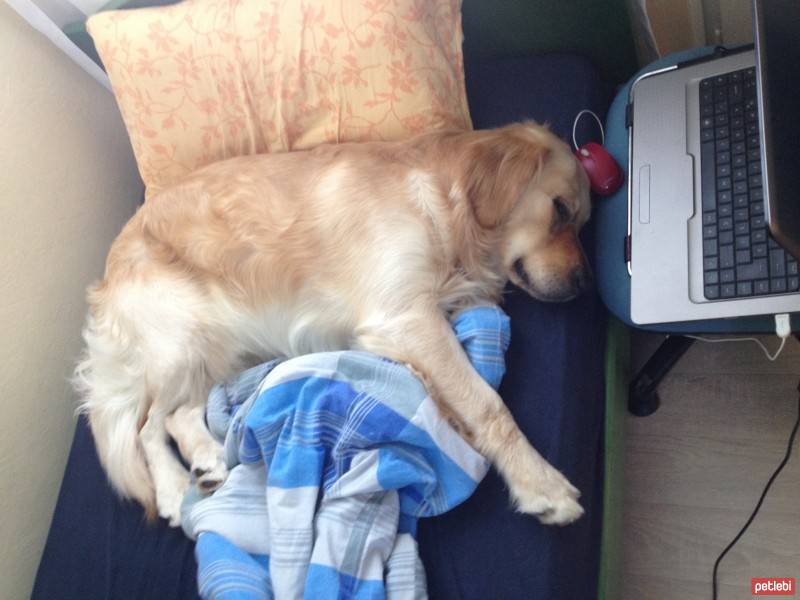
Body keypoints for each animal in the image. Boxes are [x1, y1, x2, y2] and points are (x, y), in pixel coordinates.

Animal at [72, 122, 592, 524]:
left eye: (584, 223)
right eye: (561, 210)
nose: (584, 284)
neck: (443, 202)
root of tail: (107, 274)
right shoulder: (403, 314)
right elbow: (487, 405)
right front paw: (540, 483)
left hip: (224, 350)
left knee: (178, 415)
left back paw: (209, 459)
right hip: (184, 336)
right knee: (147, 426)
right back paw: (174, 490)